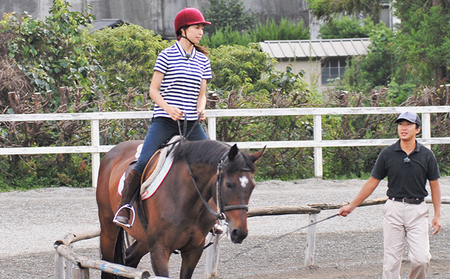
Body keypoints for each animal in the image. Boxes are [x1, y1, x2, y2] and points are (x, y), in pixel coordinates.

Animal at [95, 139, 264, 278]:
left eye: (252, 186)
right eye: (228, 184)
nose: (239, 232)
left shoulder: (193, 250)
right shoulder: (159, 250)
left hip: (144, 237)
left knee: (130, 258)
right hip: (108, 226)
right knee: (107, 264)